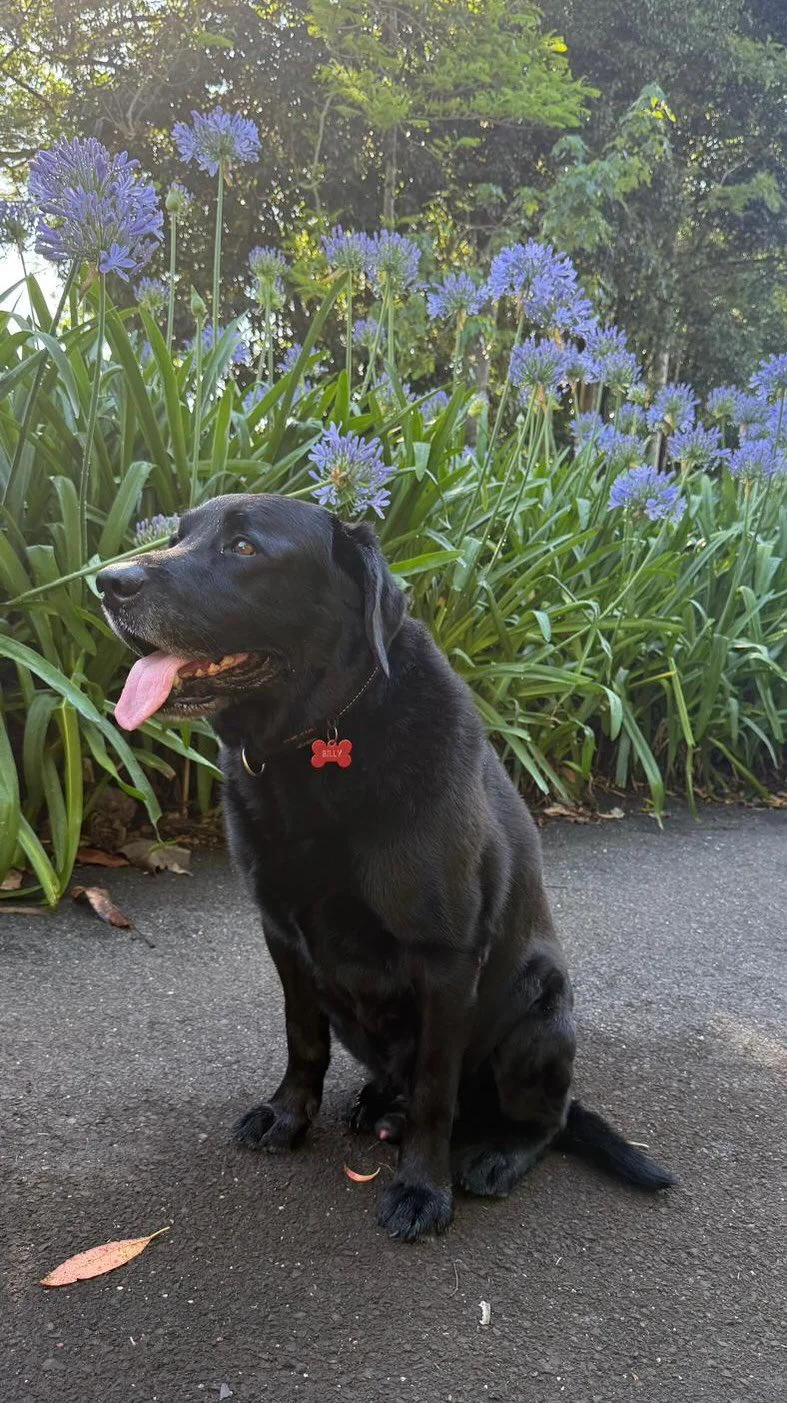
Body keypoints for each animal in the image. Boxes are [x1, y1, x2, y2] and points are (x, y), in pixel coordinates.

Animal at [99, 492, 673, 1241]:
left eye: (245, 547)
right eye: (178, 533)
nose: (107, 582)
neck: (319, 742)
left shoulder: (446, 957)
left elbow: (435, 1091)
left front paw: (422, 1189)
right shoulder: (284, 937)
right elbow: (302, 1041)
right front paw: (288, 1116)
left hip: (537, 1017)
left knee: (541, 1122)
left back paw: (495, 1153)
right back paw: (377, 1104)